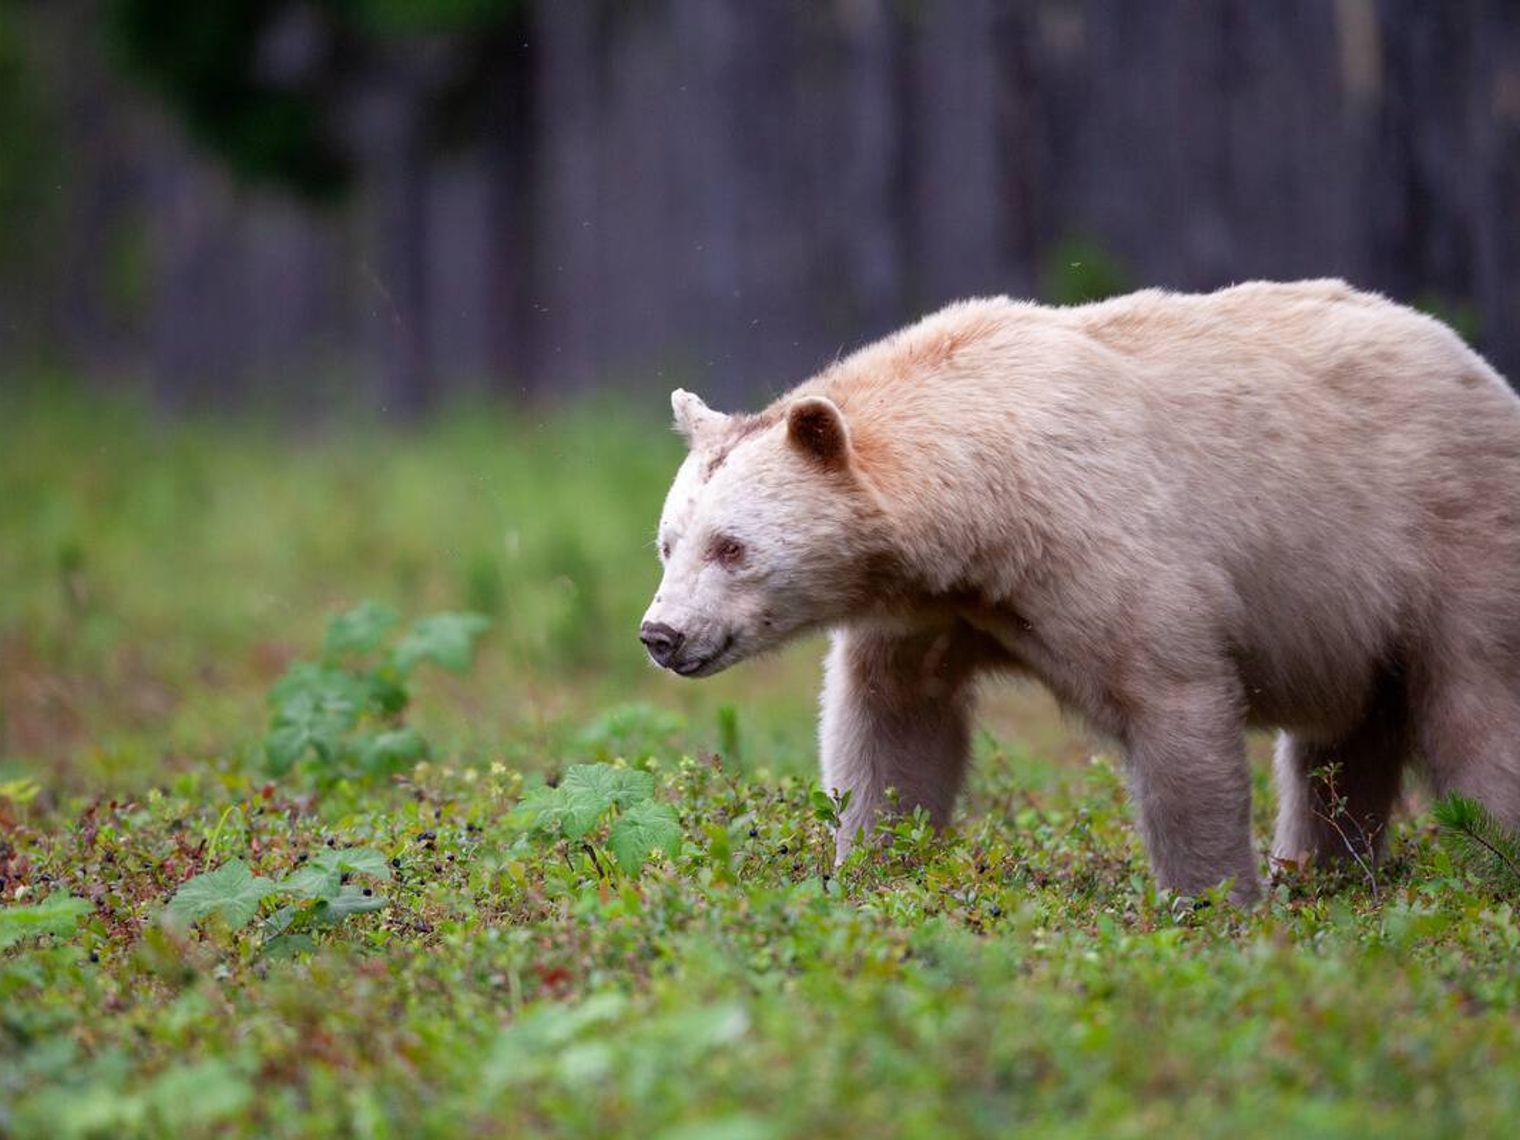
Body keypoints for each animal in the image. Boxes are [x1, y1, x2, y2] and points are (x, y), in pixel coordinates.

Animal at [638, 279, 1520, 904]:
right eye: (668, 542)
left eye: (732, 547)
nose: (662, 634)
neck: (988, 503)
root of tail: (1482, 369)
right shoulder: (929, 610)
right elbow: (894, 727)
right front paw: (867, 865)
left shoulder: (1102, 543)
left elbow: (1174, 704)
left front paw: (1217, 904)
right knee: (1341, 750)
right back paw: (1319, 872)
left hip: (1452, 543)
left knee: (1477, 719)